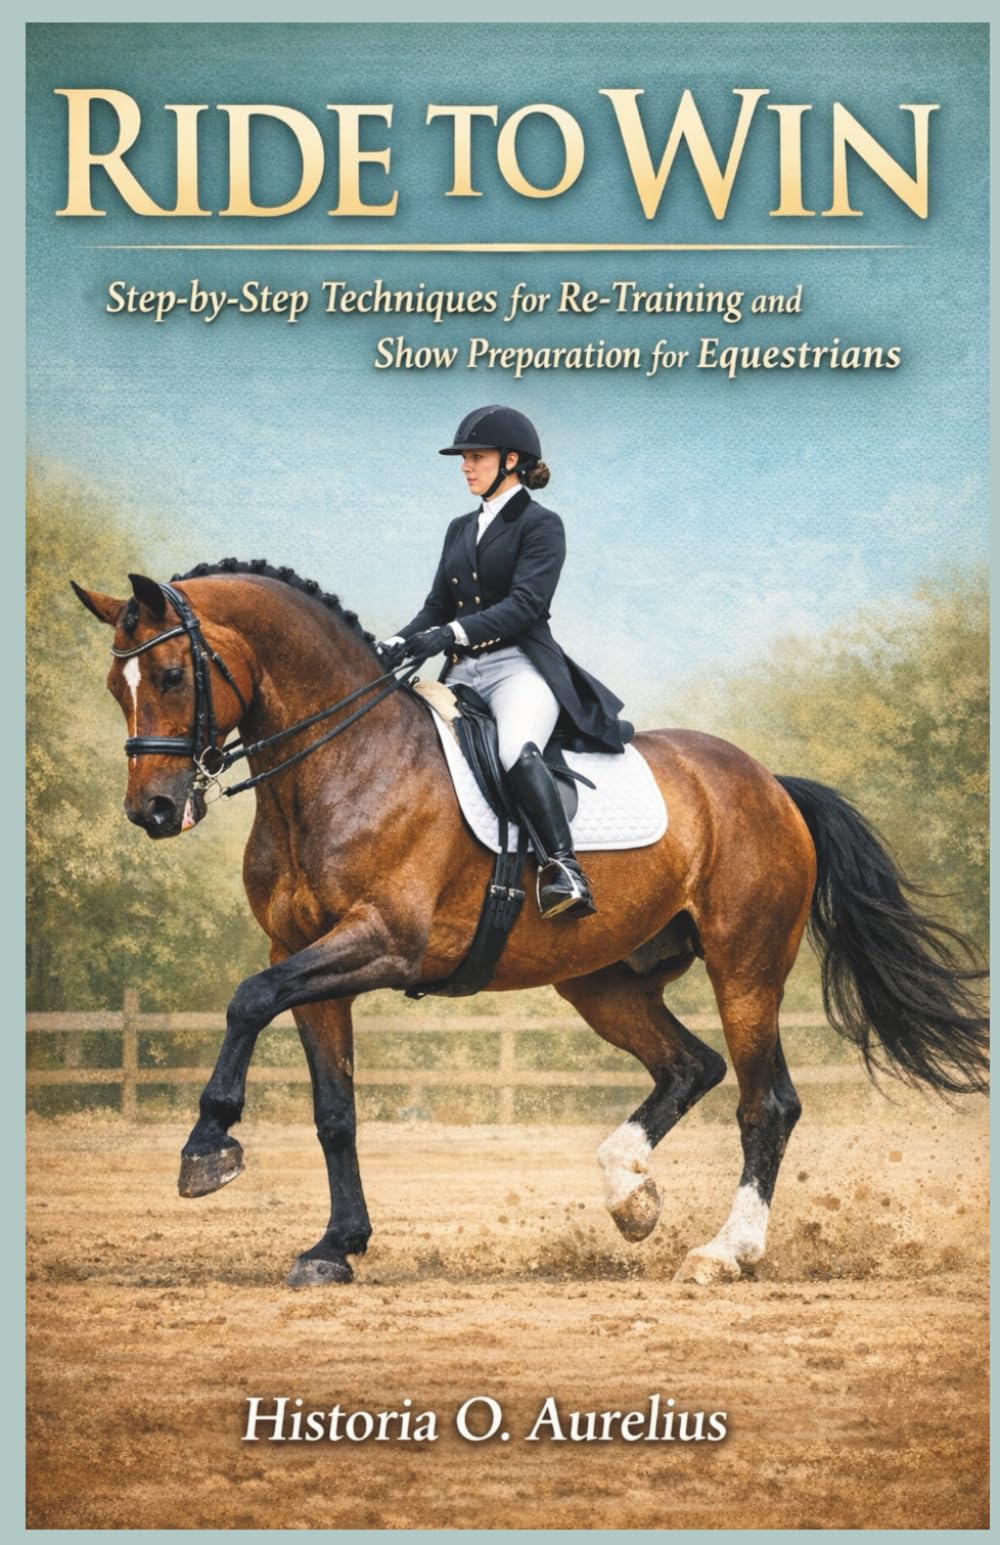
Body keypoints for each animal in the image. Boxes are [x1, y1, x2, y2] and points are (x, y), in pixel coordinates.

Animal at [71, 560, 989, 1288]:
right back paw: (630, 1193)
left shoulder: (381, 944)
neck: (341, 762)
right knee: (690, 1065)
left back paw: (723, 1251)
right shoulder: (306, 953)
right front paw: (336, 1246)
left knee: (767, 1103)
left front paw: (207, 1146)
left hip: (746, 967)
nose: (154, 811)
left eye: (172, 675)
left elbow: (247, 998)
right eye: (117, 687)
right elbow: (334, 1108)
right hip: (604, 979)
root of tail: (769, 782)